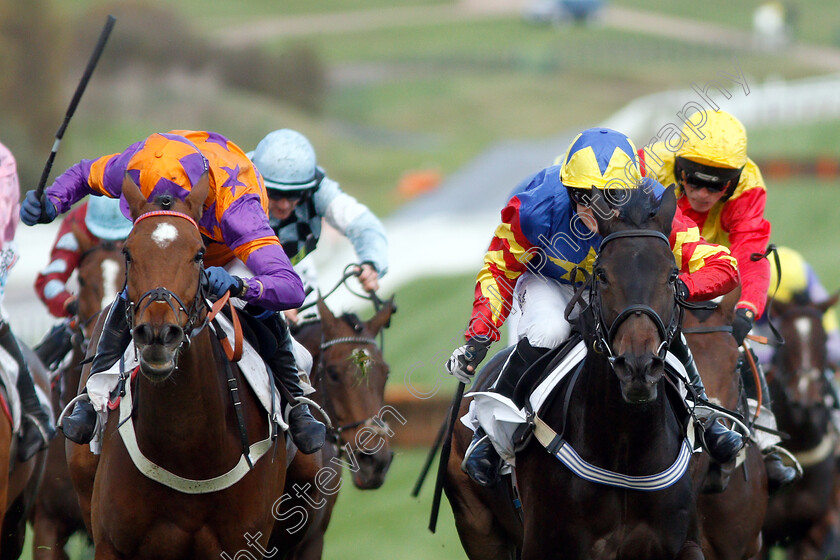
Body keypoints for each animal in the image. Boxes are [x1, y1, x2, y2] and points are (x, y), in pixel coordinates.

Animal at [67, 173, 288, 556]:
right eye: (128, 252)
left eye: (198, 254)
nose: (159, 334)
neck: (188, 447)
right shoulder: (111, 544)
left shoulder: (244, 544)